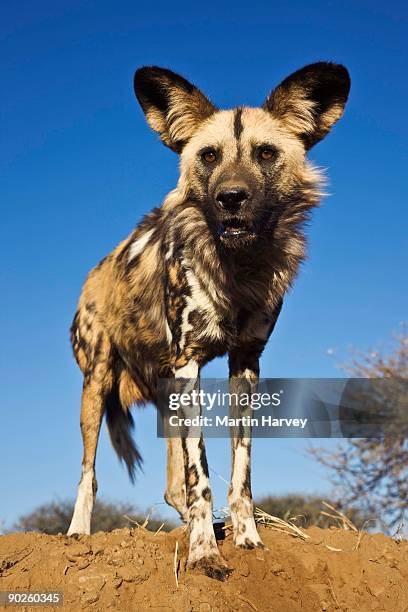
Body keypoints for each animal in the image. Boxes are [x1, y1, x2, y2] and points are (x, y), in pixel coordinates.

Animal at [68, 62, 350, 580]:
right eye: (209, 156)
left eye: (266, 154)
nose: (230, 197)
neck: (239, 269)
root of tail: (96, 270)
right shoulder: (191, 362)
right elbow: (200, 475)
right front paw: (204, 553)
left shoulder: (245, 364)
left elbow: (240, 471)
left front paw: (246, 538)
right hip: (96, 386)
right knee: (88, 472)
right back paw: (78, 534)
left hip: (167, 398)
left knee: (170, 484)